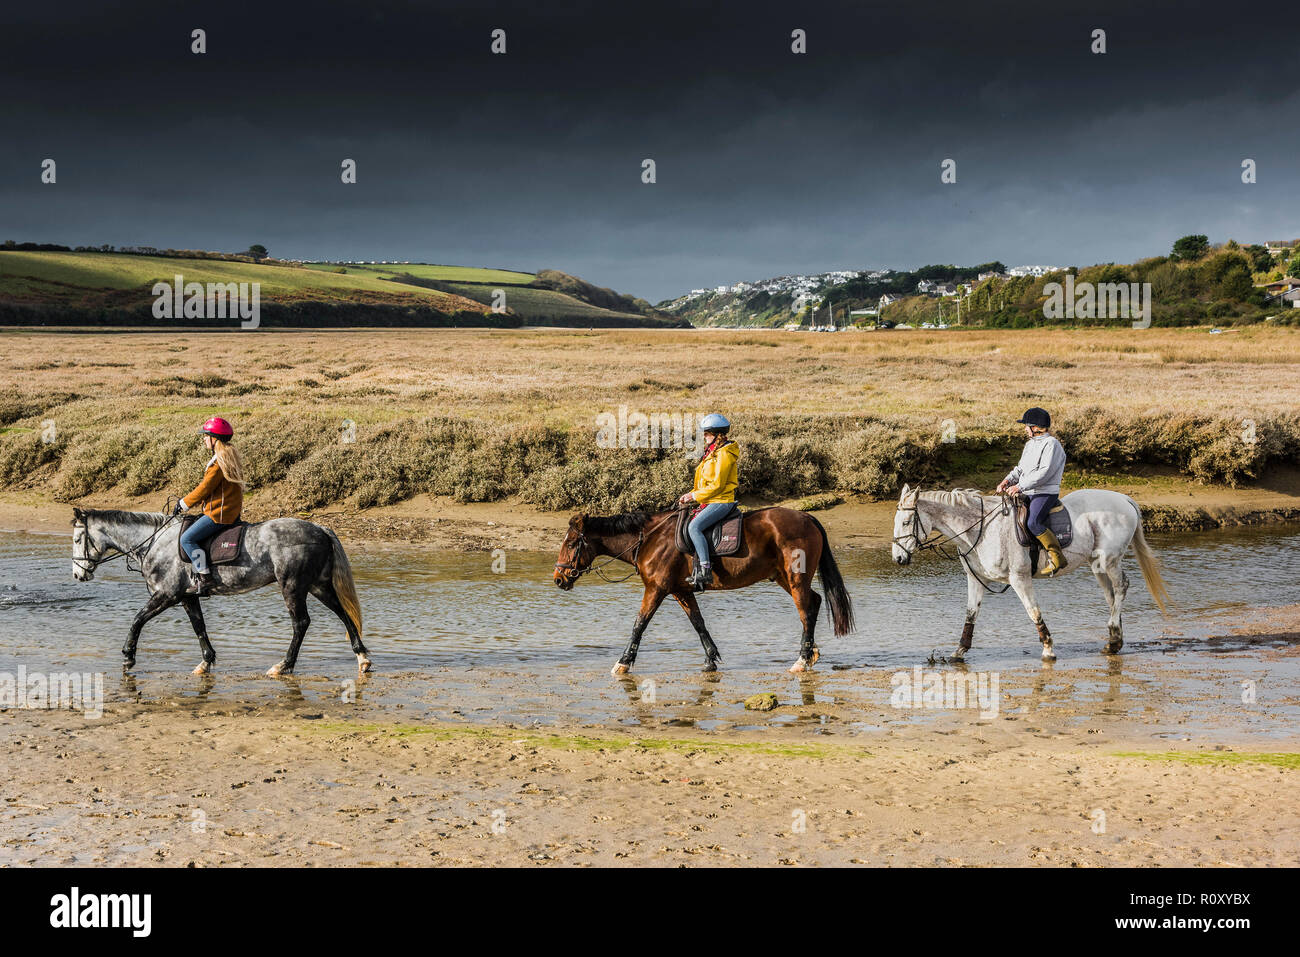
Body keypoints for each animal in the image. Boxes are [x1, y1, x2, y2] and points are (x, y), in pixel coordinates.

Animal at [71, 504, 371, 676]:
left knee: (301, 623)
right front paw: (206, 662)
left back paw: (283, 666)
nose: (78, 574)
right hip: (318, 585)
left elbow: (137, 620)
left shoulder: (166, 595)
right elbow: (199, 627)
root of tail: (319, 528)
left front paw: (128, 656)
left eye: (77, 539)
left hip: (293, 586)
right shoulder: (187, 597)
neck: (154, 541)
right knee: (343, 614)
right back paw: (362, 658)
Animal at [553, 509, 857, 670]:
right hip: (784, 578)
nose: (558, 578)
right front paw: (711, 659)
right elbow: (698, 622)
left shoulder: (656, 589)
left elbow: (639, 624)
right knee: (814, 603)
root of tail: (806, 517)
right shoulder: (681, 591)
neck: (650, 540)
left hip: (795, 579)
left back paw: (802, 660)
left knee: (806, 611)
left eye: (571, 543)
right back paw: (811, 654)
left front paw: (623, 663)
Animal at [889, 488, 1175, 660]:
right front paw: (959, 652)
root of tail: (1124, 499)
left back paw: (1114, 636)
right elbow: (970, 615)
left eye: (906, 522)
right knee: (1111, 595)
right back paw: (1114, 639)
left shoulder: (1019, 579)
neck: (981, 530)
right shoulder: (977, 579)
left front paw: (1048, 648)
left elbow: (1033, 611)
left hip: (1110, 560)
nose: (898, 558)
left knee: (1121, 587)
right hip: (1097, 565)